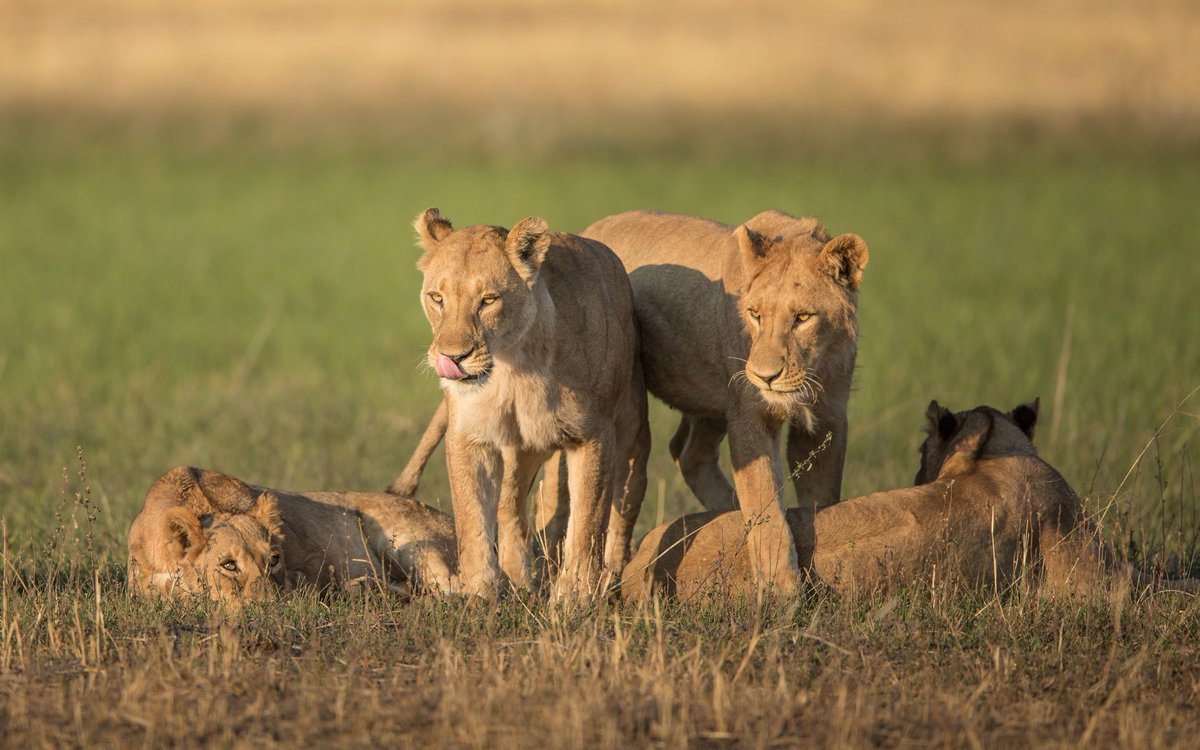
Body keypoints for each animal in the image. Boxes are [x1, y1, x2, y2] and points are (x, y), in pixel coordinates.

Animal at [410, 208, 649, 601]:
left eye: (488, 300)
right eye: (437, 297)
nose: (453, 358)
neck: (512, 366)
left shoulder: (593, 435)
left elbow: (588, 520)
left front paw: (574, 596)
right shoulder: (469, 434)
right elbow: (472, 515)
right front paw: (480, 592)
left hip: (630, 428)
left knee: (623, 505)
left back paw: (612, 573)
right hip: (518, 447)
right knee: (510, 508)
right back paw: (519, 579)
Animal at [582, 210, 868, 595]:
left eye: (803, 317)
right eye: (755, 314)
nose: (765, 377)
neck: (817, 366)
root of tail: (590, 229)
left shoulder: (827, 421)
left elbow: (820, 496)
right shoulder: (749, 417)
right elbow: (766, 509)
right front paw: (783, 592)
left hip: (709, 399)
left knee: (688, 453)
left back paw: (726, 515)